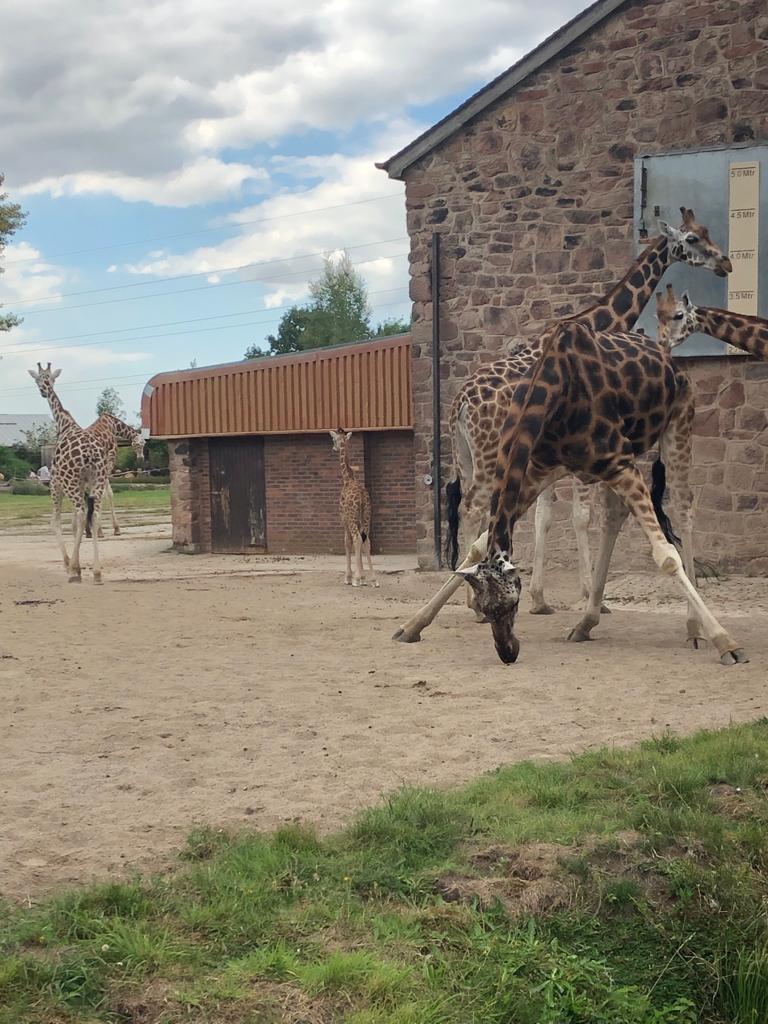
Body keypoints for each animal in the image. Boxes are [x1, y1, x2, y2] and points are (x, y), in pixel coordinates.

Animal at [28, 363, 111, 583]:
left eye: (38, 378)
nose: (42, 391)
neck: (64, 424)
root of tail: (90, 453)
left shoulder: (56, 483)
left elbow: (55, 522)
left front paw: (70, 565)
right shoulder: (83, 484)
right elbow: (74, 524)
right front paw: (80, 566)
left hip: (69, 483)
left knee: (82, 515)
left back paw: (74, 571)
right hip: (98, 480)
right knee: (94, 514)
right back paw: (97, 572)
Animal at [330, 429, 378, 587]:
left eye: (334, 440)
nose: (334, 447)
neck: (347, 478)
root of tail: (362, 496)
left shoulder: (344, 518)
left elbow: (347, 542)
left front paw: (350, 577)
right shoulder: (358, 519)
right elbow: (361, 543)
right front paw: (363, 577)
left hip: (351, 517)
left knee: (356, 538)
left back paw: (356, 580)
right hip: (367, 515)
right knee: (366, 540)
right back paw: (374, 579)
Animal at [395, 208, 732, 642]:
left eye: (706, 233)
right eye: (693, 239)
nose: (724, 262)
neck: (601, 320)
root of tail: (459, 405)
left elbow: (547, 516)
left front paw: (545, 599)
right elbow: (578, 517)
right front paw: (586, 598)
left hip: (467, 459)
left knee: (469, 511)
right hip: (488, 460)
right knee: (474, 509)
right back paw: (473, 605)